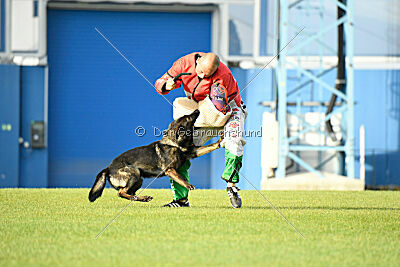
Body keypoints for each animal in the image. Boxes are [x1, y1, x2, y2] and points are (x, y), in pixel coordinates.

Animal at [88, 110, 223, 204]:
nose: (196, 110)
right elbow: (180, 178)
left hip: (139, 179)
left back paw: (142, 198)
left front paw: (220, 141)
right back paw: (141, 197)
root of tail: (108, 168)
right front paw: (187, 185)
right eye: (187, 118)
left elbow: (211, 146)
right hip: (134, 173)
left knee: (129, 193)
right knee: (121, 193)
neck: (176, 144)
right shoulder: (170, 170)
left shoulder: (193, 152)